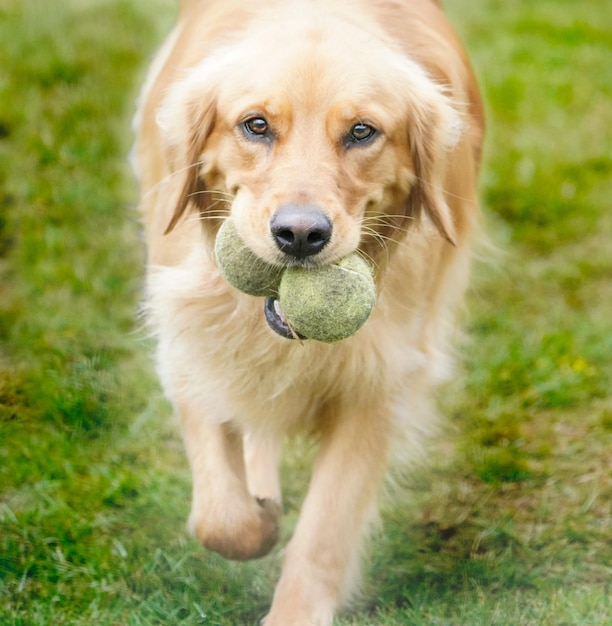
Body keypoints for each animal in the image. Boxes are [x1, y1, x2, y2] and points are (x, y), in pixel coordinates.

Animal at [133, 1, 482, 620]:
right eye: (256, 125)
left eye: (362, 131)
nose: (300, 235)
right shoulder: (189, 333)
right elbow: (222, 519)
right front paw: (258, 518)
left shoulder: (380, 384)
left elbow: (325, 528)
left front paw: (296, 609)